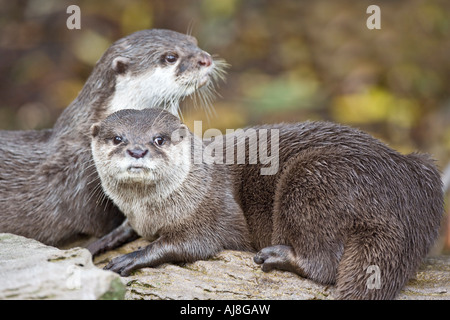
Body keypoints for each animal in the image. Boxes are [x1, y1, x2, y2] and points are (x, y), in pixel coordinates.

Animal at [89, 109, 442, 298]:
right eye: (117, 138)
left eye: (159, 139)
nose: (137, 150)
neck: (150, 212)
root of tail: (408, 194)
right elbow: (126, 228)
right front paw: (100, 242)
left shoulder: (211, 210)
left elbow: (190, 243)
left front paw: (133, 257)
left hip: (312, 176)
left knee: (325, 265)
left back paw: (277, 256)